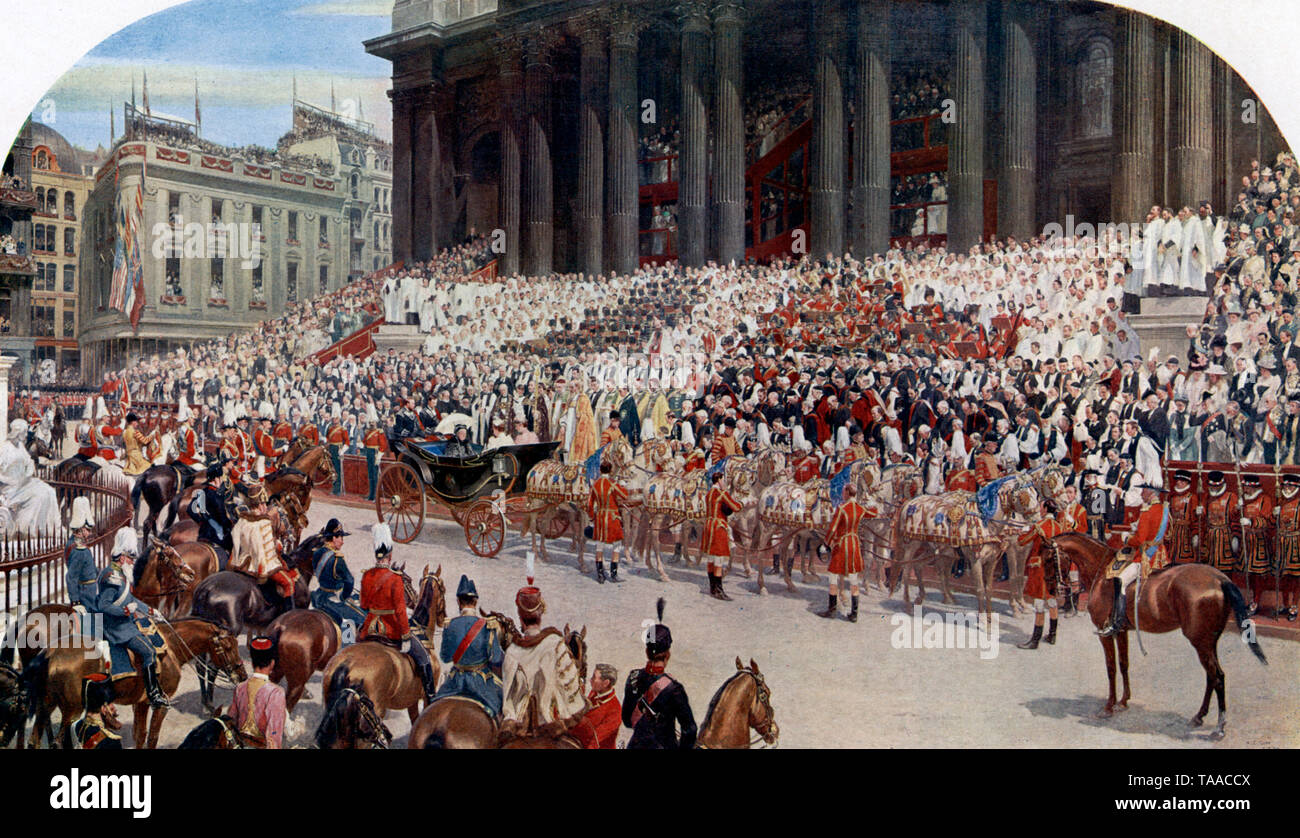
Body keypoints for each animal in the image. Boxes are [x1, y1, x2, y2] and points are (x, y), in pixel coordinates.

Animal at [24, 618, 244, 748]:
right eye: (228, 646)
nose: (241, 674)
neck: (171, 646)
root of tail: (50, 652)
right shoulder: (161, 705)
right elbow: (152, 736)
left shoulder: (141, 703)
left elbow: (140, 734)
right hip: (71, 710)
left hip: (47, 705)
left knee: (34, 740)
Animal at [1050, 532, 1263, 737]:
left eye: (1050, 557)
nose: (1058, 590)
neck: (1101, 571)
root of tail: (1221, 579)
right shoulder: (1120, 631)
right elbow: (1124, 664)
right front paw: (1123, 702)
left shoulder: (1105, 634)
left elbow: (1111, 668)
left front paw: (1108, 707)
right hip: (1210, 641)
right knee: (1212, 676)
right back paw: (1199, 717)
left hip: (1200, 642)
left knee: (1217, 676)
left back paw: (1219, 727)